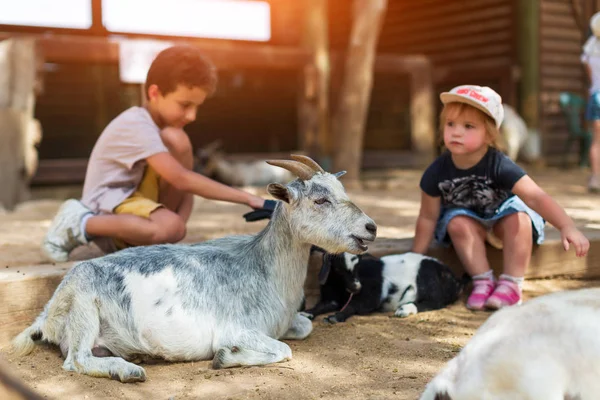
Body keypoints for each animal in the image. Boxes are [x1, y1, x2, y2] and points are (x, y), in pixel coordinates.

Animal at [11, 155, 378, 382]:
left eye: (341, 191)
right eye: (320, 200)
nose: (371, 227)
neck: (264, 270)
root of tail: (47, 314)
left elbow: (304, 327)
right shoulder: (235, 328)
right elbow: (283, 349)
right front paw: (225, 357)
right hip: (85, 306)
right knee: (76, 359)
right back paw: (128, 371)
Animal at [302, 252, 466, 324]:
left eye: (358, 264)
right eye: (338, 268)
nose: (357, 287)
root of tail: (455, 280)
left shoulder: (370, 296)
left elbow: (354, 306)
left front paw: (336, 316)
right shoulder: (331, 298)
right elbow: (320, 306)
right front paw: (306, 313)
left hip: (429, 283)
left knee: (434, 302)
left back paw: (403, 310)